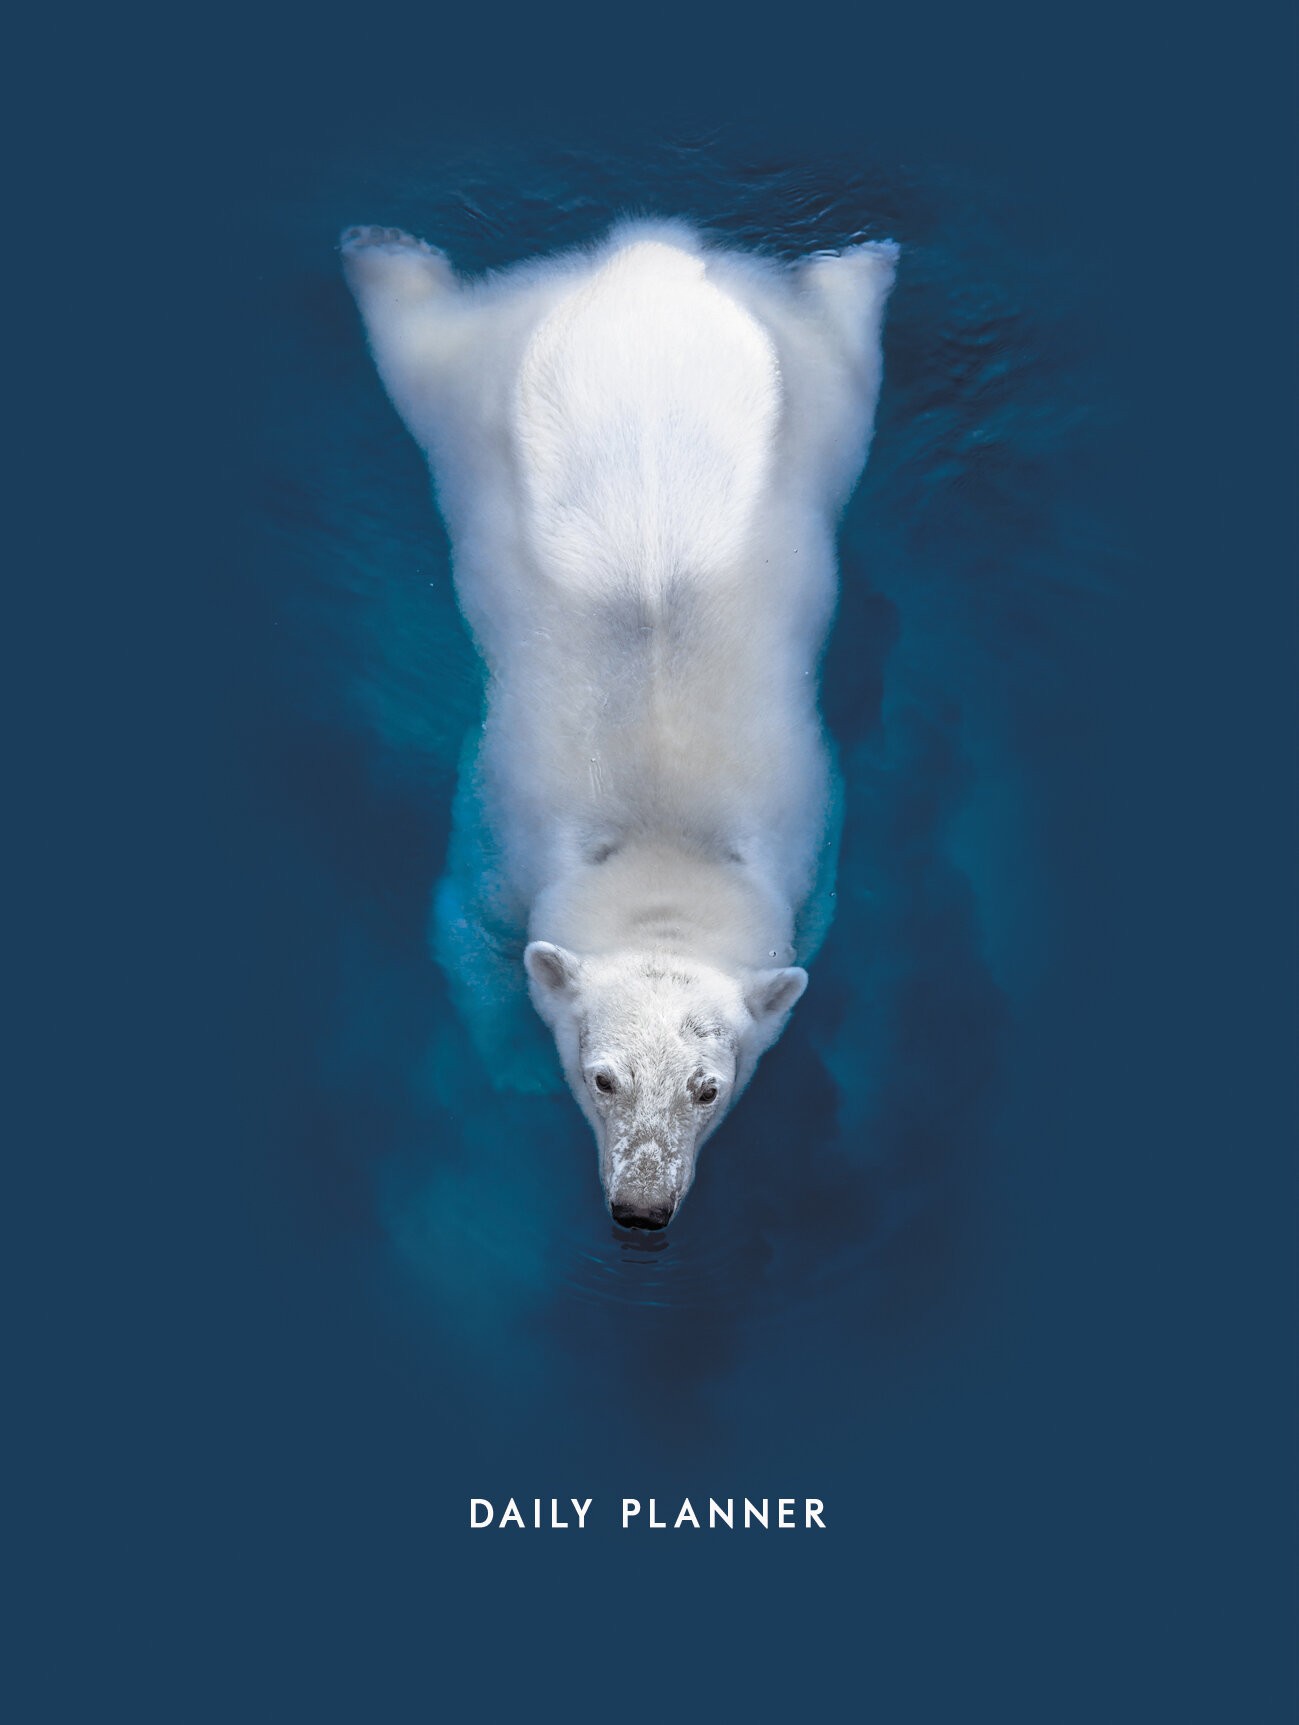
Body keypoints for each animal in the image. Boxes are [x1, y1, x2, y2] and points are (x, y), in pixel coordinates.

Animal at [341, 218, 897, 1228]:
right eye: (601, 1075)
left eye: (707, 1085)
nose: (642, 1209)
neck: (658, 833)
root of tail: (647, 261)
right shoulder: (498, 840)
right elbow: (466, 935)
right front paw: (512, 1067)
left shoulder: (810, 854)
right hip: (477, 384)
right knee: (417, 339)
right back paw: (381, 254)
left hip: (816, 397)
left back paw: (861, 265)